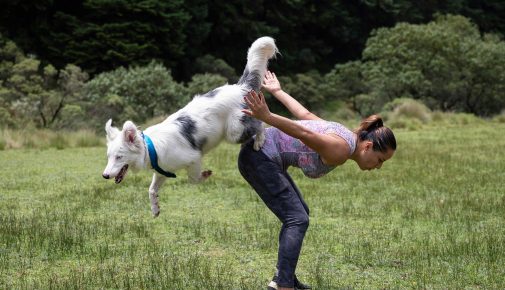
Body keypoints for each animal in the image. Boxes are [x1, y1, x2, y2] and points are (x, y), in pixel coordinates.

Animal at [101, 36, 278, 216]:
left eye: (119, 157)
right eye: (109, 156)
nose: (105, 175)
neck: (150, 148)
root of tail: (240, 87)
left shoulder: (193, 158)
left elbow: (193, 179)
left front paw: (205, 175)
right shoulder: (163, 171)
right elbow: (151, 190)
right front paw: (155, 208)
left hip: (234, 131)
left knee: (261, 123)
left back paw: (259, 140)